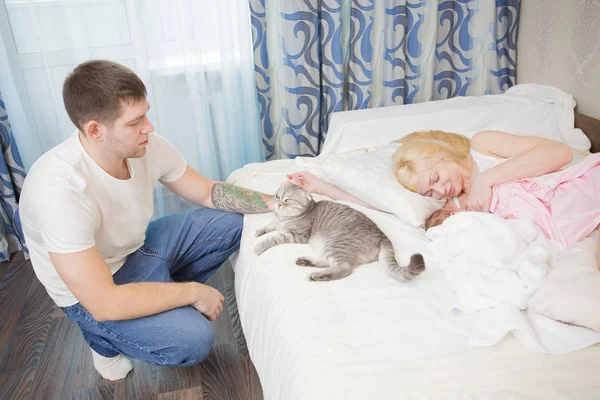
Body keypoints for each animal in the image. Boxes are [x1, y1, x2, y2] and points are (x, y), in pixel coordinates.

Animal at [254, 184, 426, 282]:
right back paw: (305, 262)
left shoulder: (294, 235)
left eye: (288, 200)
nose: (278, 204)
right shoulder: (277, 223)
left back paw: (316, 276)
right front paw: (259, 231)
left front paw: (259, 246)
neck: (283, 218)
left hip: (336, 244)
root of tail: (382, 236)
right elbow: (269, 226)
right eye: (277, 196)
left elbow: (272, 238)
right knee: (328, 263)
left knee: (344, 268)